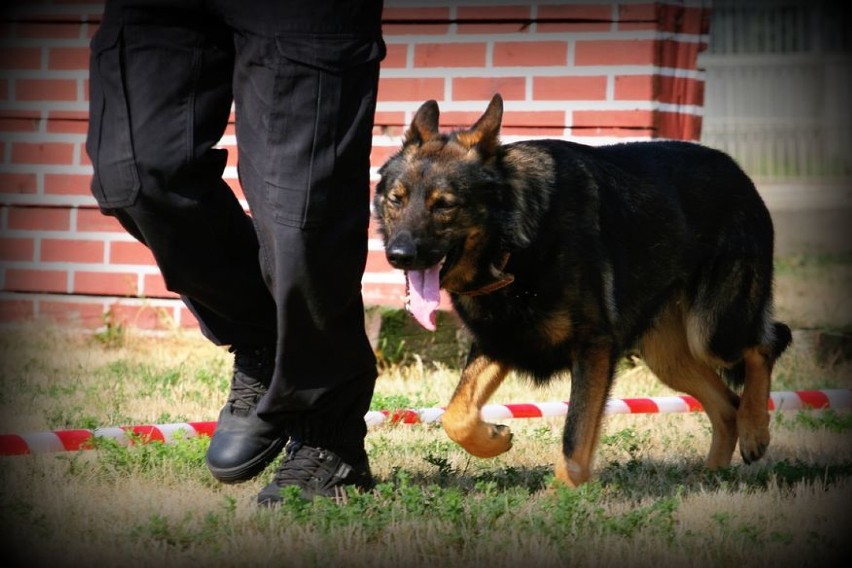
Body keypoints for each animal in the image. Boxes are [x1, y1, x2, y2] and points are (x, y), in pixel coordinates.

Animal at [374, 94, 792, 488]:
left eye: (444, 205)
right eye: (397, 199)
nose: (397, 255)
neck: (514, 238)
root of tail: (739, 173)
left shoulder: (593, 348)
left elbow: (575, 434)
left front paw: (563, 493)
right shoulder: (501, 340)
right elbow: (456, 415)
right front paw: (494, 439)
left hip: (713, 332)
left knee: (766, 344)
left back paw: (755, 431)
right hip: (668, 356)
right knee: (726, 405)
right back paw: (714, 473)